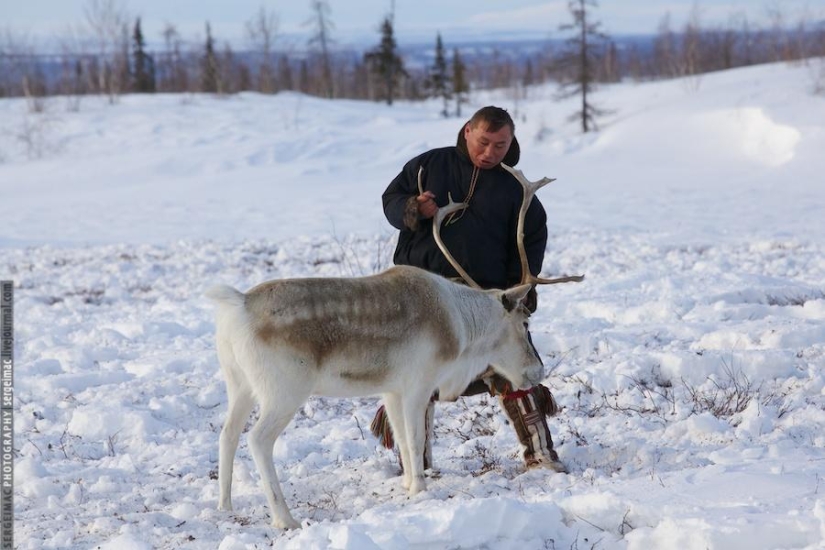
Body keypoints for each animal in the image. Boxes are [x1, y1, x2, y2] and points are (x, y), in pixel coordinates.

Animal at [206, 164, 583, 529]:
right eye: (525, 322)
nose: (537, 370)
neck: (460, 324)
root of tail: (238, 305)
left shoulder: (391, 390)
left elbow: (400, 437)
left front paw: (406, 484)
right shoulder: (419, 383)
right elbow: (415, 440)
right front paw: (419, 490)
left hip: (239, 383)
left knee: (227, 433)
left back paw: (225, 505)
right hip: (284, 391)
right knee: (257, 440)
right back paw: (286, 519)